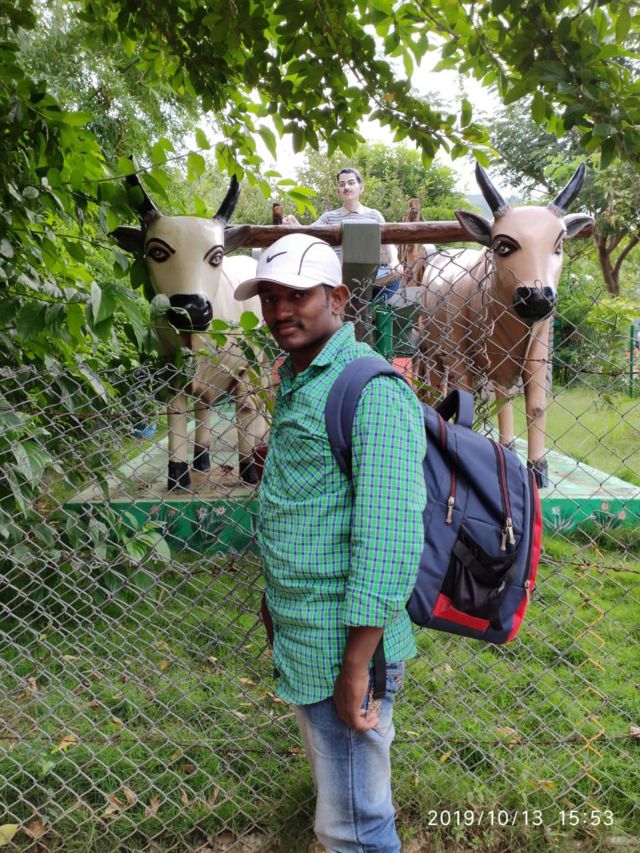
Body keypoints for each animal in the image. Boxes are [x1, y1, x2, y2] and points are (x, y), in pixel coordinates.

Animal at [111, 172, 268, 492]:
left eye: (216, 256)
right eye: (156, 252)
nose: (192, 308)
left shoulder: (245, 371)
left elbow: (245, 413)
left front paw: (249, 472)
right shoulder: (172, 375)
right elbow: (178, 418)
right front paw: (178, 478)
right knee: (204, 408)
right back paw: (201, 460)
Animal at [417, 163, 594, 487]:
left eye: (559, 244)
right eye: (502, 245)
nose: (537, 296)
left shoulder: (532, 356)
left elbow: (529, 403)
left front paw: (534, 466)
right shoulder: (462, 355)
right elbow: (469, 396)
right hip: (432, 348)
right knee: (435, 385)